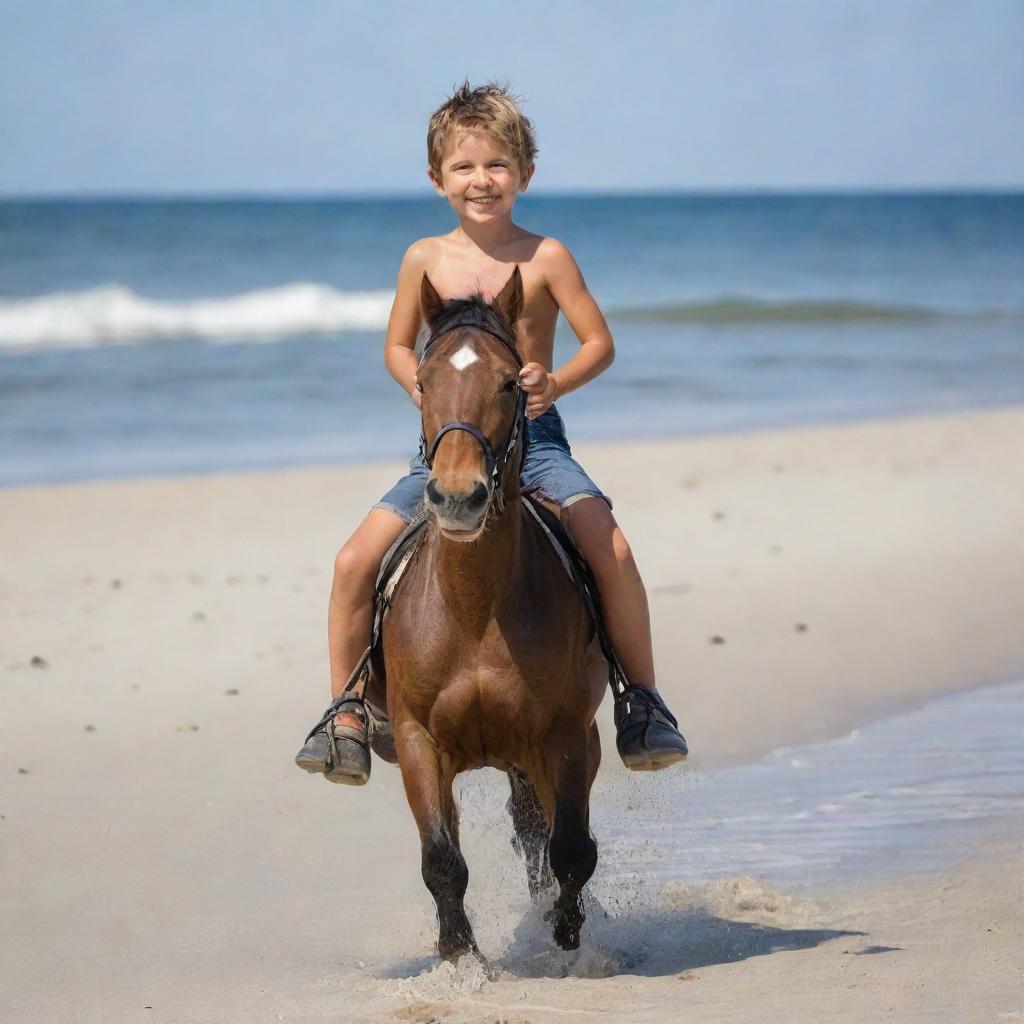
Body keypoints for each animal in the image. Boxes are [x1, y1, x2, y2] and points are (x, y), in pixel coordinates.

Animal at [385, 268, 606, 954]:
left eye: (512, 382)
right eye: (423, 381)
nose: (458, 498)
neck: (475, 608)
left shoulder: (564, 735)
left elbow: (572, 850)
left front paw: (567, 941)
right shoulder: (418, 740)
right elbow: (441, 859)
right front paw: (459, 955)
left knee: (545, 836)